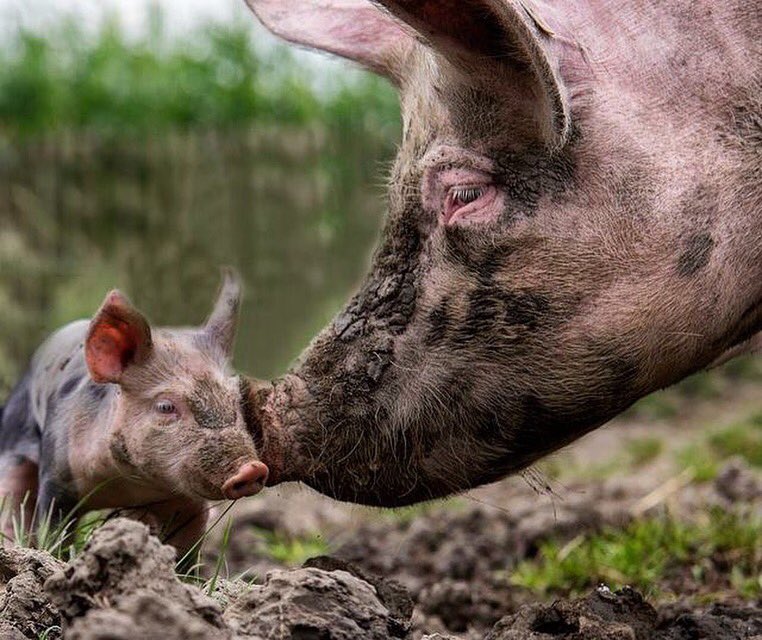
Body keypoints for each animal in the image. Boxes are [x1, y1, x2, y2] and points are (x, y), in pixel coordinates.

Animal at [0, 270, 268, 552]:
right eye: (165, 406)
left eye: (235, 400)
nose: (252, 468)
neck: (129, 484)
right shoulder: (57, 479)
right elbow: (53, 531)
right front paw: (50, 556)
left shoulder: (186, 502)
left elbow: (187, 545)